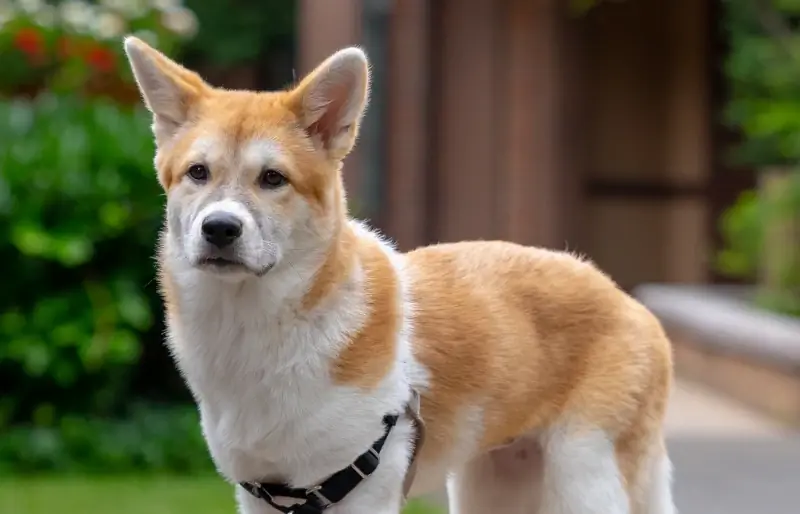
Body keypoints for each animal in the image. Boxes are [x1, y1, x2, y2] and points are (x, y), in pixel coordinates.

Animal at [123, 37, 676, 512]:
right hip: (495, 485)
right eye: (198, 173)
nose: (219, 228)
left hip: (584, 478)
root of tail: (627, 301)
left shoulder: (361, 492)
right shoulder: (262, 496)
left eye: (273, 179)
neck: (257, 330)